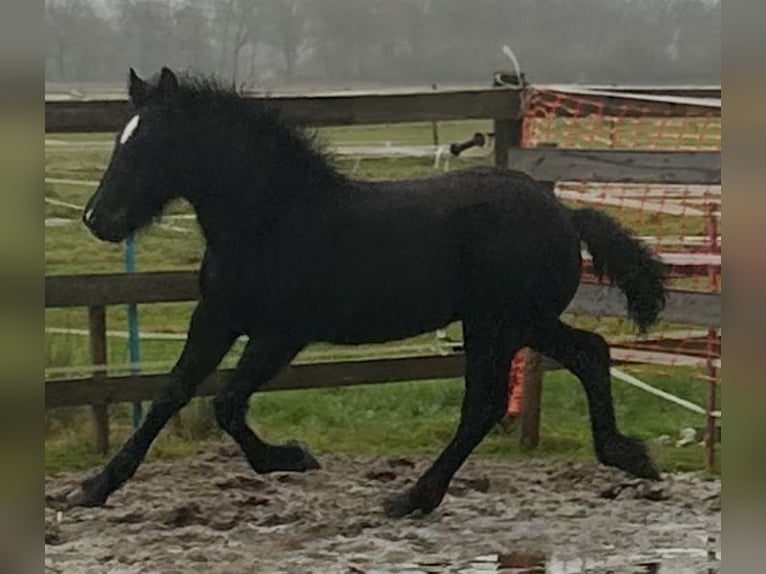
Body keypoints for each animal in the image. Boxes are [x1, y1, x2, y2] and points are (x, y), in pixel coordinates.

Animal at [73, 68, 672, 520]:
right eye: (119, 140)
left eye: (153, 144)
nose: (97, 219)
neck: (273, 220)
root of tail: (565, 216)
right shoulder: (217, 317)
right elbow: (171, 394)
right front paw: (93, 488)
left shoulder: (281, 333)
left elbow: (226, 403)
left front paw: (292, 458)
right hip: (519, 323)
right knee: (587, 354)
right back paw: (628, 456)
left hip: (500, 323)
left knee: (487, 402)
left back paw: (412, 497)